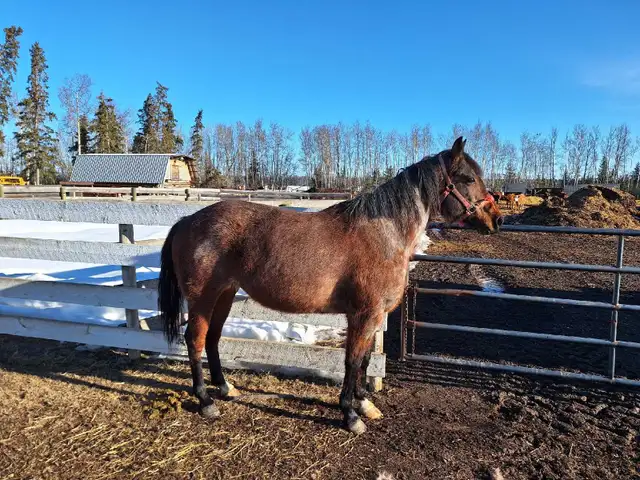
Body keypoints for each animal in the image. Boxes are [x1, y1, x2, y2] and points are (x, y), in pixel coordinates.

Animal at [157, 137, 503, 435]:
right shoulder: (363, 315)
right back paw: (205, 401)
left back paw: (226, 388)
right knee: (195, 340)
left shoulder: (373, 317)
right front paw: (350, 415)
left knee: (213, 339)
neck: (384, 234)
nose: (496, 219)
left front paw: (364, 404)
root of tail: (186, 221)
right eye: (467, 178)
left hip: (225, 294)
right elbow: (352, 360)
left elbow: (365, 360)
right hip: (203, 297)